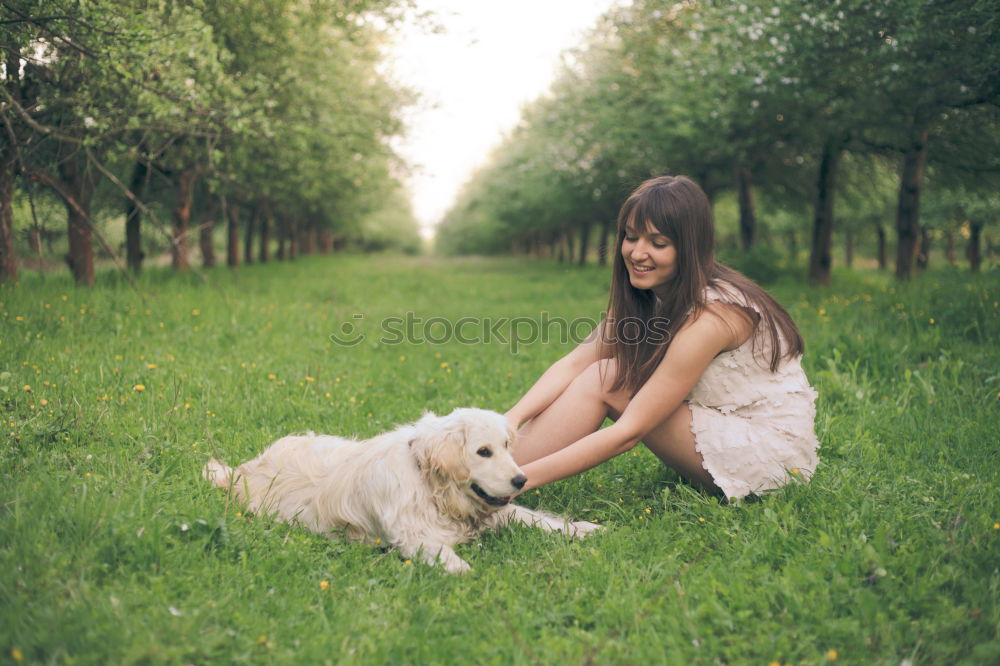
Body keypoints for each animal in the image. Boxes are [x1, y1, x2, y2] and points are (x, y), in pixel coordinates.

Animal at [199, 404, 596, 572]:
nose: (521, 479)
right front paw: (467, 571)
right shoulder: (412, 535)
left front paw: (582, 529)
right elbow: (447, 557)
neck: (434, 488)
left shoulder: (498, 509)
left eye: (507, 446)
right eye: (483, 451)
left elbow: (538, 518)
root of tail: (241, 471)